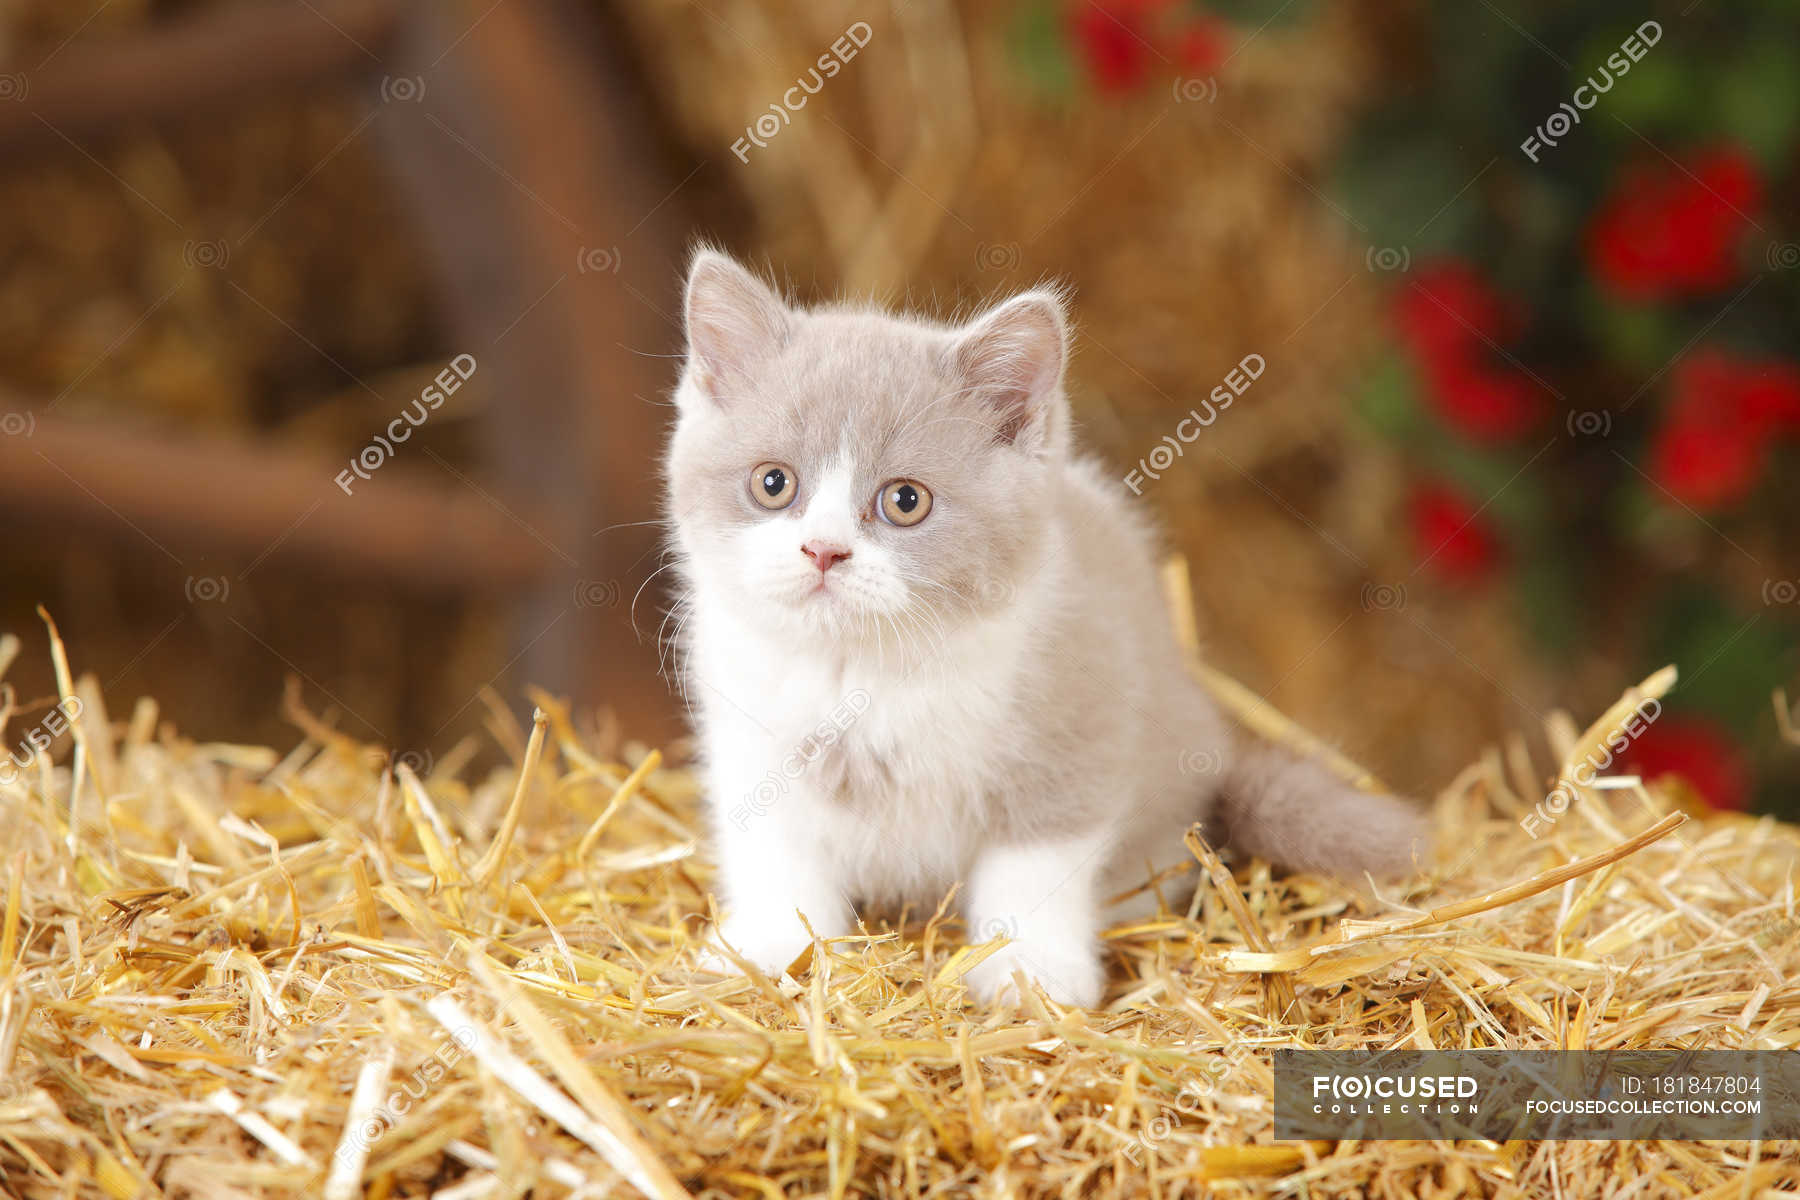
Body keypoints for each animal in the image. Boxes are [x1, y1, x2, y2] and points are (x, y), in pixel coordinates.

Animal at [666, 251, 1432, 1007]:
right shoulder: (749, 737)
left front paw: (1029, 969)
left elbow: (1035, 862)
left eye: (905, 501)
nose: (823, 550)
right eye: (773, 484)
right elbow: (773, 849)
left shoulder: (1080, 711)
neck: (860, 670)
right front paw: (770, 945)